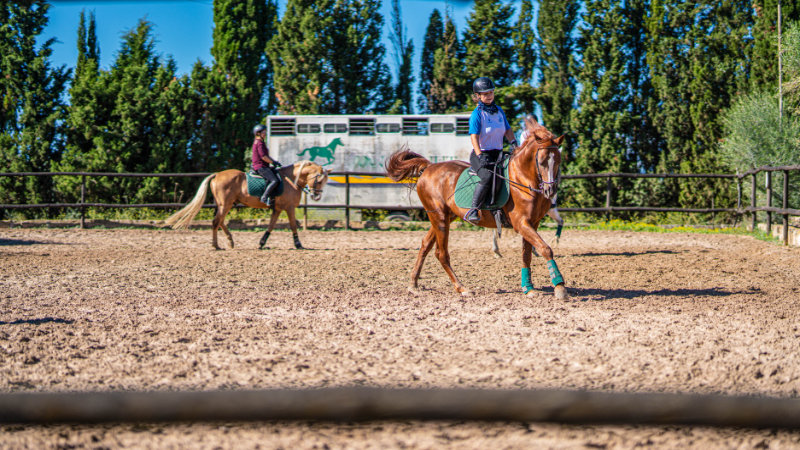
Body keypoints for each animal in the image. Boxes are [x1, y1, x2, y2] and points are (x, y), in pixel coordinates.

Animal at [167, 160, 330, 250]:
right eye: (319, 179)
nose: (316, 196)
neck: (291, 179)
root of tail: (217, 174)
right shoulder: (289, 208)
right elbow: (293, 225)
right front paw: (298, 244)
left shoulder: (277, 209)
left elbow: (271, 225)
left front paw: (262, 243)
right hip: (225, 204)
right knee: (216, 221)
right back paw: (216, 245)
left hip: (225, 204)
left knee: (220, 221)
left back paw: (230, 241)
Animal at [384, 116, 564, 298]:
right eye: (541, 161)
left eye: (558, 160)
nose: (550, 190)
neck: (523, 178)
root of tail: (429, 168)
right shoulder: (521, 223)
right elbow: (545, 249)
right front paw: (559, 286)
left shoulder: (532, 223)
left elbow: (527, 254)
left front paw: (528, 287)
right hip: (439, 217)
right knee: (441, 253)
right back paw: (461, 287)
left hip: (445, 217)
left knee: (425, 245)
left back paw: (413, 283)